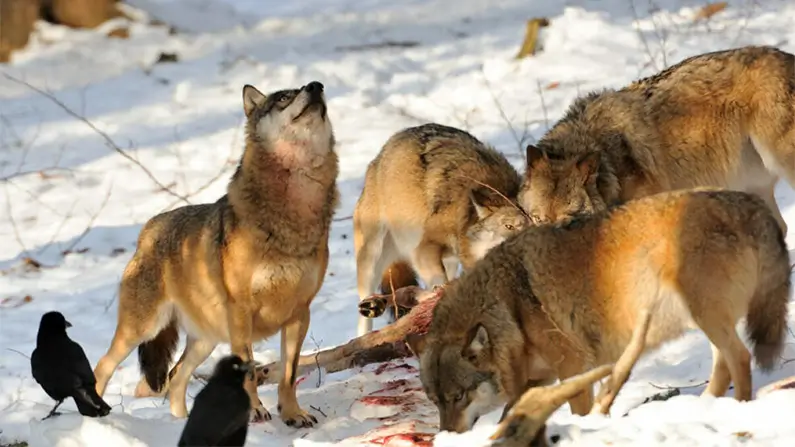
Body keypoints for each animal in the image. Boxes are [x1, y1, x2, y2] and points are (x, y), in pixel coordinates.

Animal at [92, 81, 339, 428]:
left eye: (316, 91)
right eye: (283, 98)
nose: (317, 86)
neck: (294, 211)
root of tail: (148, 228)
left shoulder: (300, 313)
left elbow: (288, 375)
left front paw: (293, 414)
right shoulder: (241, 312)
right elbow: (249, 372)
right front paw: (255, 411)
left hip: (204, 341)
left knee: (176, 377)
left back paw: (181, 424)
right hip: (142, 329)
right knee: (102, 366)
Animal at [354, 123, 529, 336]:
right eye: (508, 226)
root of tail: (379, 156)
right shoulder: (424, 247)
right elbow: (438, 282)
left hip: (448, 262)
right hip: (372, 257)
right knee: (364, 312)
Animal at [410, 188, 791, 433]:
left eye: (459, 396)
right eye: (436, 401)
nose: (445, 436)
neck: (507, 306)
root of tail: (748, 202)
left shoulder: (573, 368)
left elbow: (575, 411)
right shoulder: (539, 379)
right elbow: (510, 413)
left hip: (706, 316)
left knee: (740, 358)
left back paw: (738, 410)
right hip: (704, 320)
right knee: (723, 365)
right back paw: (703, 408)